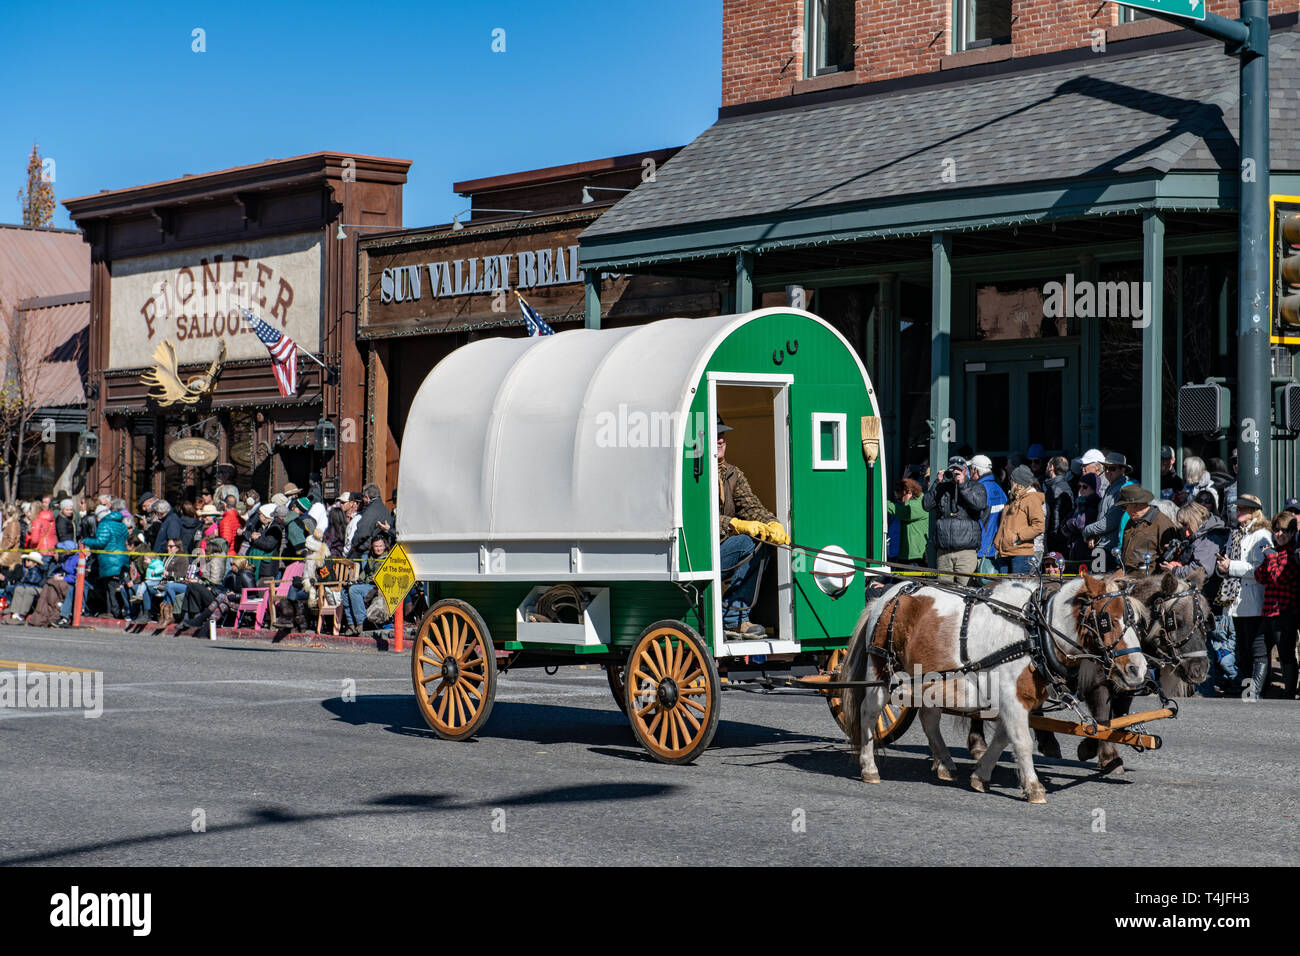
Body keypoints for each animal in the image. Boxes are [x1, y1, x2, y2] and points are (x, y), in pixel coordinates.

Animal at [837, 572, 1144, 806]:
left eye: (1134, 621)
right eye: (1106, 620)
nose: (1138, 670)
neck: (1034, 633)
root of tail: (888, 595)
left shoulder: (1014, 701)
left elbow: (1003, 738)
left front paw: (980, 775)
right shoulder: (1012, 698)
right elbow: (1021, 741)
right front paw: (1033, 787)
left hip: (929, 680)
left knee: (929, 720)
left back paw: (945, 764)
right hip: (881, 672)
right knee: (868, 714)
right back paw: (869, 767)